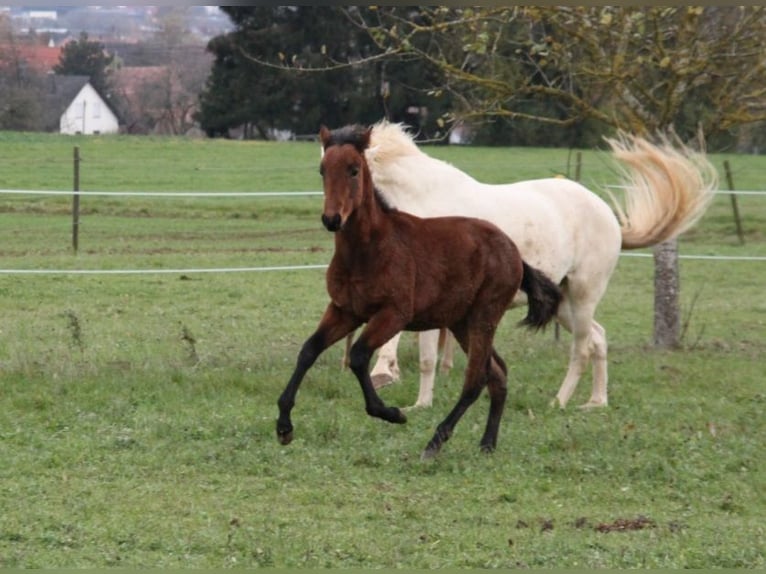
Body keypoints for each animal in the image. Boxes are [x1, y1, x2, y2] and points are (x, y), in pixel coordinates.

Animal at [360, 122, 720, 410]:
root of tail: (608, 215)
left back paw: (559, 402)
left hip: (584, 296)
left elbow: (422, 355)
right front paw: (412, 397)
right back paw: (595, 402)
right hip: (561, 303)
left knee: (582, 349)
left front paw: (402, 390)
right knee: (599, 339)